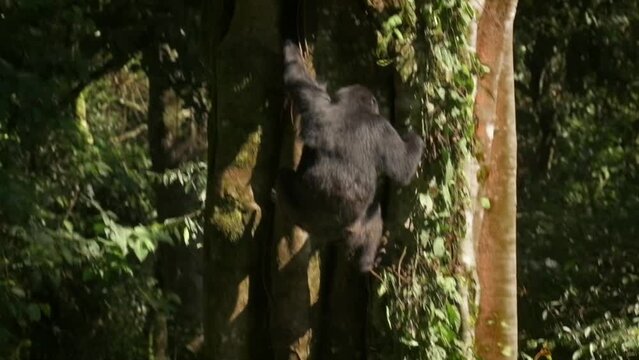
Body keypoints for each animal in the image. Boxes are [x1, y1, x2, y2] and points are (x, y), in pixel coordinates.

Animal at [276, 41, 424, 272]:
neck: (350, 107)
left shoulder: (319, 103)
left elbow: (297, 79)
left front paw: (290, 45)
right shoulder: (381, 127)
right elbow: (403, 169)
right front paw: (414, 139)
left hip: (311, 219)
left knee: (282, 179)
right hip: (350, 228)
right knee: (374, 215)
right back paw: (366, 263)